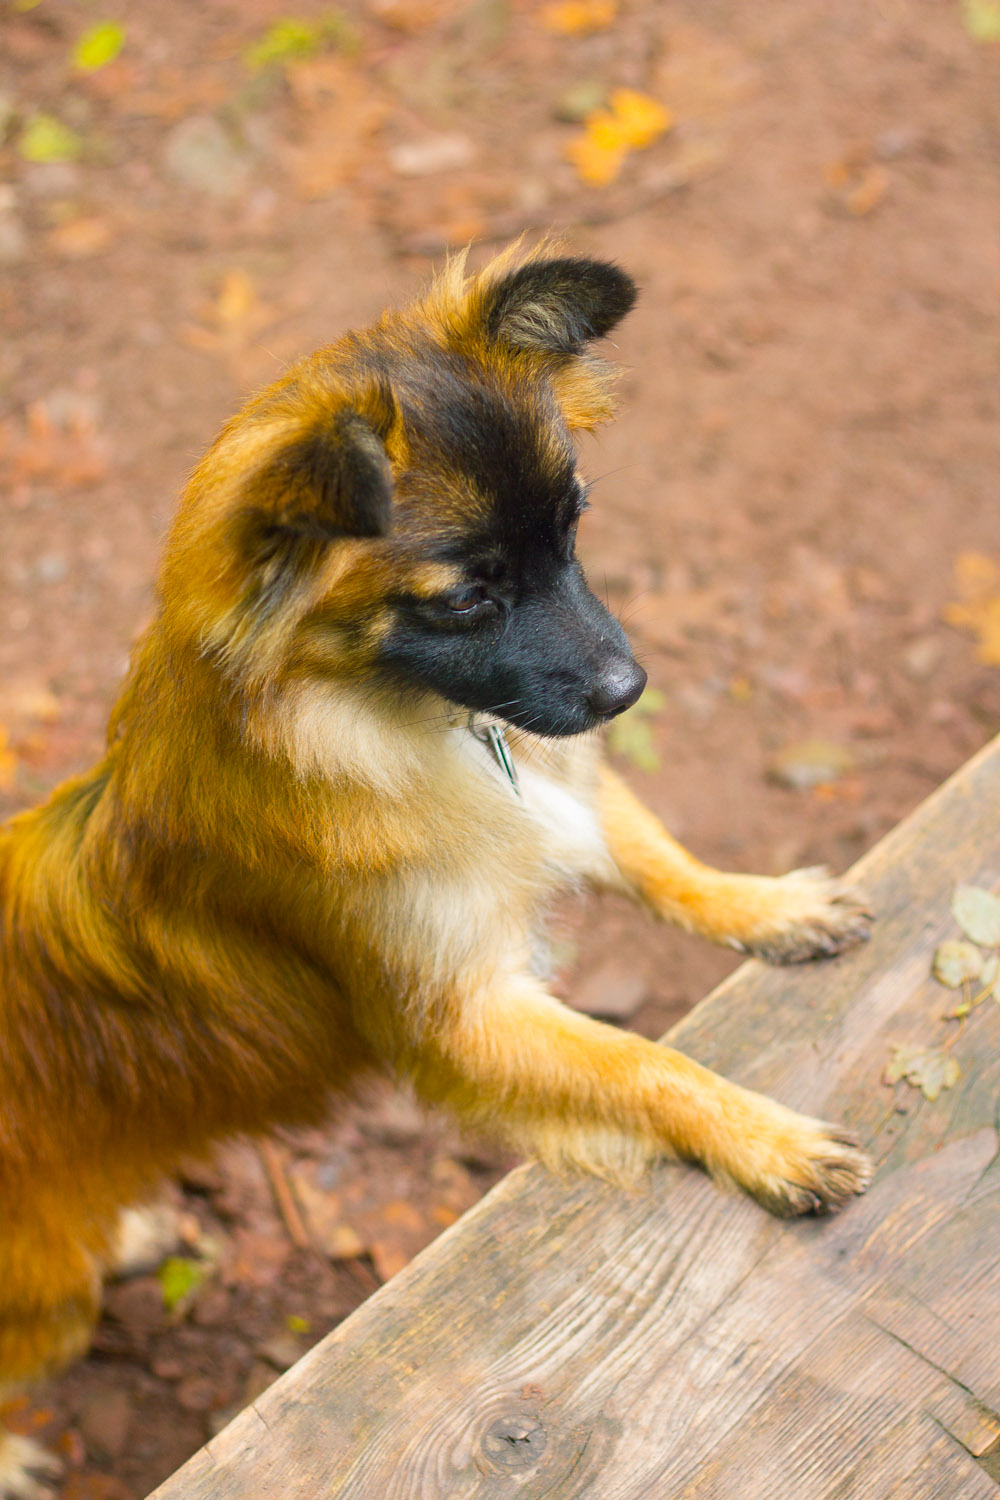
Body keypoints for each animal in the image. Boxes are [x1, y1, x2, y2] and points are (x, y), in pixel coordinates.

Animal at [0, 243, 869, 1488]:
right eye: (465, 595)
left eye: (575, 529)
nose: (628, 689)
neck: (391, 719)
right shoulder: (462, 1019)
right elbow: (645, 1064)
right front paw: (764, 1138)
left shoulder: (559, 794)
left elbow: (660, 864)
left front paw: (766, 906)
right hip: (41, 1302)